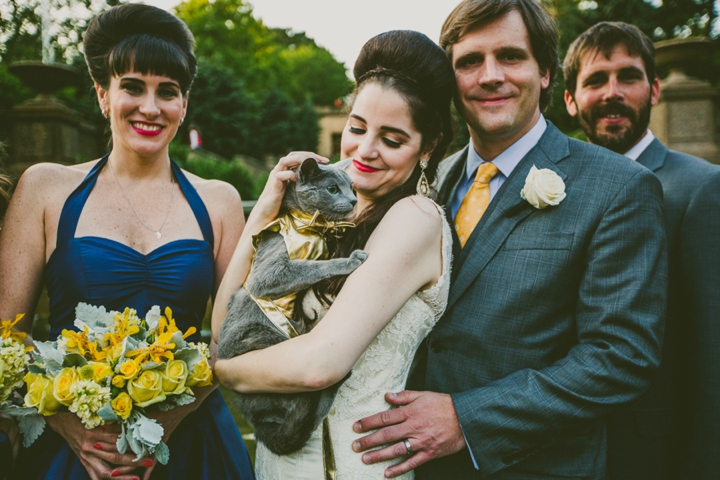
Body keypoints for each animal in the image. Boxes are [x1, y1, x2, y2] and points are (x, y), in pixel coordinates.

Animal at [218, 159, 366, 456]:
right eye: (332, 189)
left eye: (351, 187)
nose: (354, 200)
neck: (310, 227)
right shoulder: (269, 274)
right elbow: (311, 266)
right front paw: (349, 260)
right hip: (264, 338)